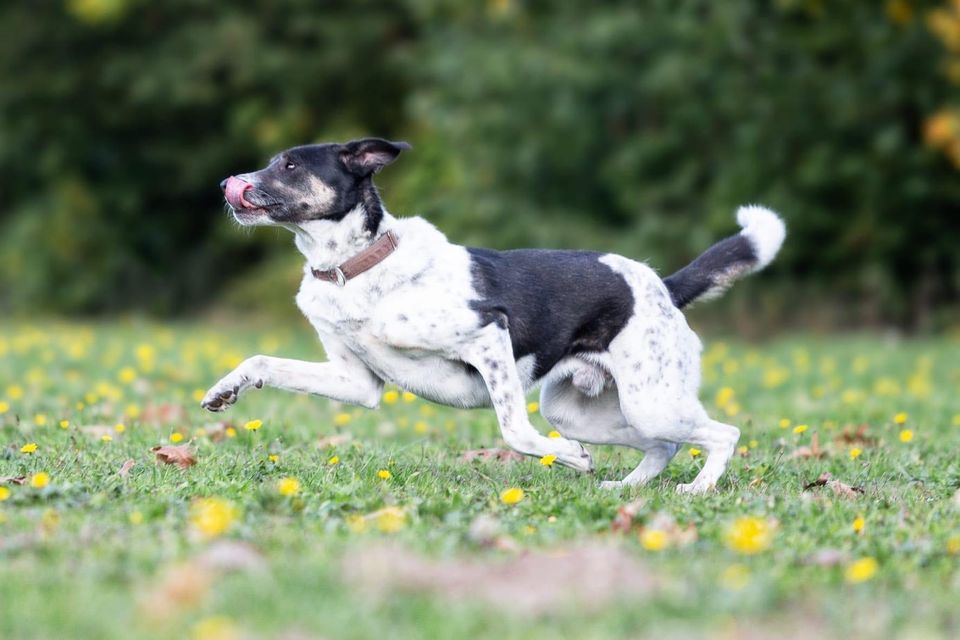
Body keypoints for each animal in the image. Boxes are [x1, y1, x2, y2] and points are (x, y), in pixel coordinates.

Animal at [206, 138, 784, 492]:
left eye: (291, 165)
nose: (226, 184)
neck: (360, 268)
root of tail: (662, 286)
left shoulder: (489, 336)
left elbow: (514, 432)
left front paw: (569, 458)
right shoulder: (357, 383)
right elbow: (264, 362)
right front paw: (224, 391)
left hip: (652, 400)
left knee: (722, 433)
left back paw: (696, 489)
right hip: (584, 411)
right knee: (664, 445)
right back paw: (625, 486)